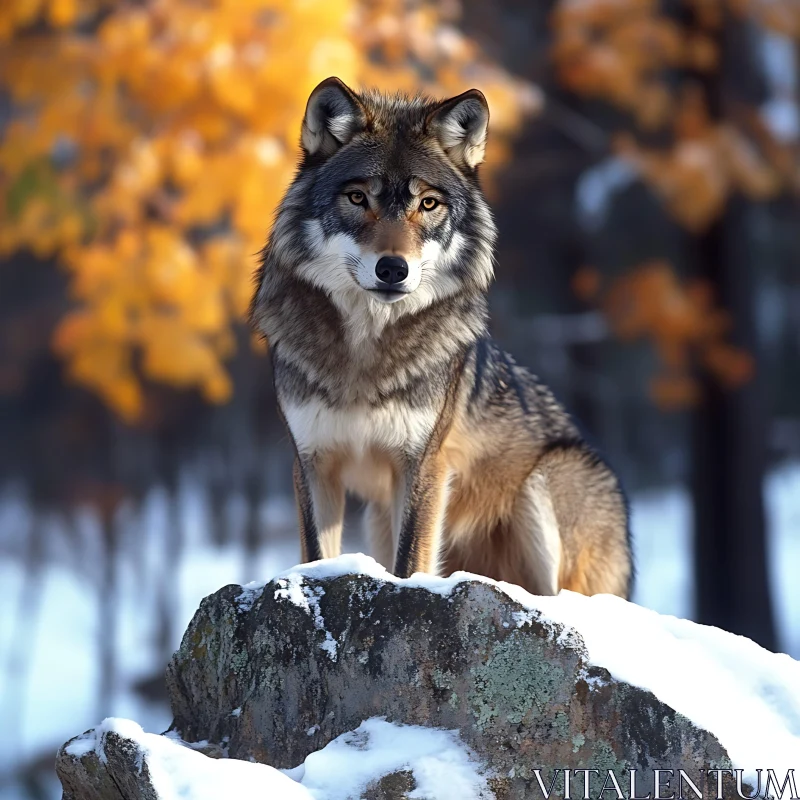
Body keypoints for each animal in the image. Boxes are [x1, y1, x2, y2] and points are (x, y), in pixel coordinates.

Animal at [250, 78, 632, 596]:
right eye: (358, 198)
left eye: (427, 203)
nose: (393, 269)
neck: (364, 354)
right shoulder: (311, 460)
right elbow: (316, 555)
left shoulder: (424, 463)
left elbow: (410, 562)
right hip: (378, 516)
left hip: (547, 485)